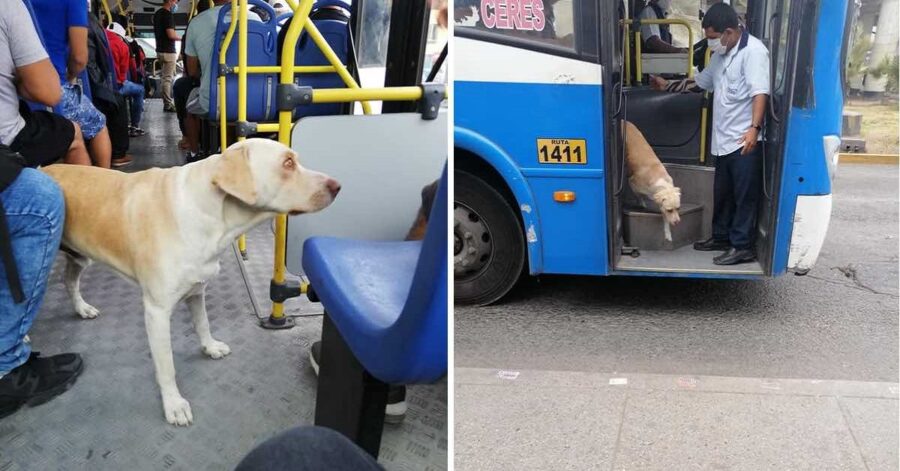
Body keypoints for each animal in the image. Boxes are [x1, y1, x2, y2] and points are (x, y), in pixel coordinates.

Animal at [41, 139, 342, 428]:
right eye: (288, 163)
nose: (337, 186)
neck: (212, 215)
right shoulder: (157, 312)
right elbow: (167, 366)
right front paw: (174, 404)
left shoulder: (197, 291)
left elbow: (203, 324)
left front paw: (210, 347)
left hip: (79, 257)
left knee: (69, 280)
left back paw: (82, 308)